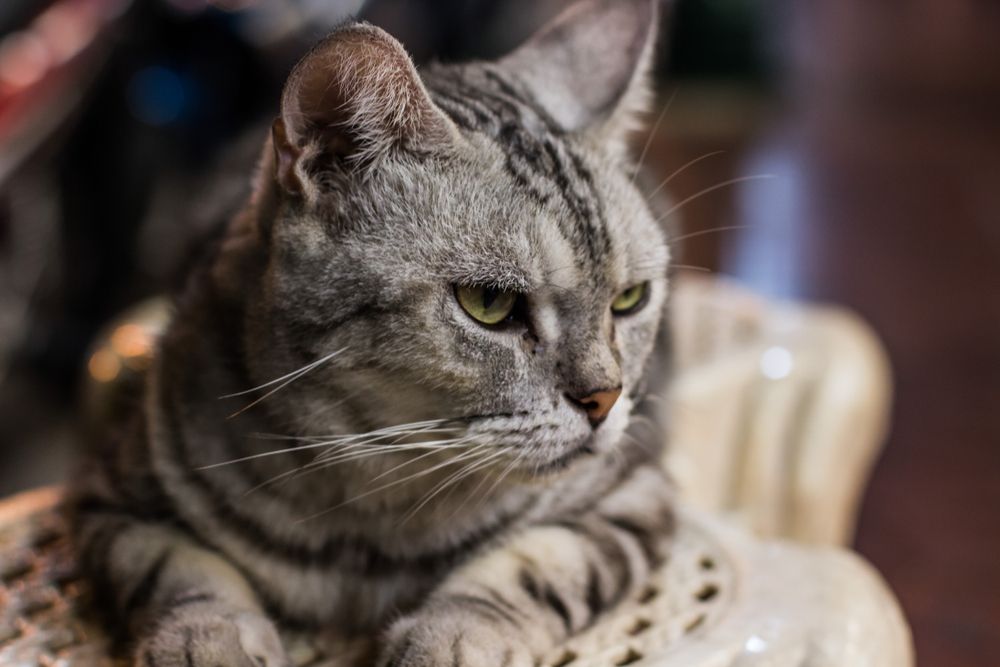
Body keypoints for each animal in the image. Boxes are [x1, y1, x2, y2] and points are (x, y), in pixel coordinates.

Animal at [70, 0, 676, 664]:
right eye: (490, 303)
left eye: (629, 299)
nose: (605, 398)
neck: (365, 529)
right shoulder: (117, 499)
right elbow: (182, 574)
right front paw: (208, 640)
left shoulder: (631, 498)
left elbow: (531, 567)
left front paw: (450, 637)